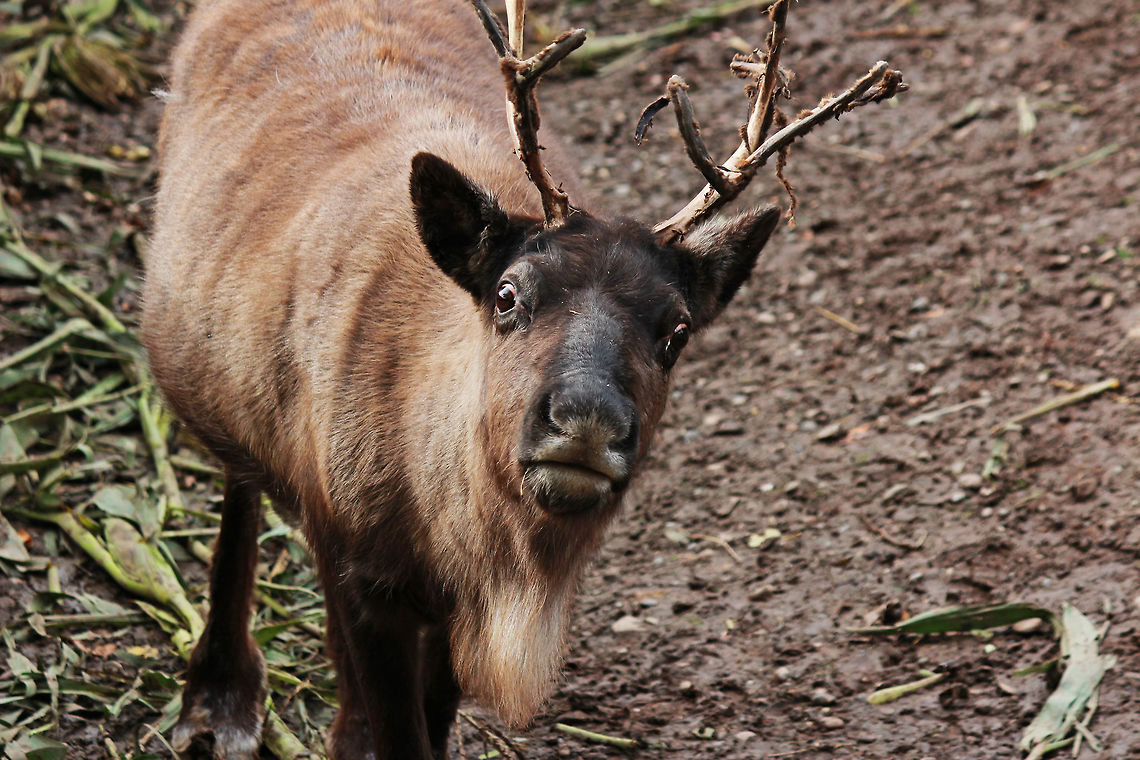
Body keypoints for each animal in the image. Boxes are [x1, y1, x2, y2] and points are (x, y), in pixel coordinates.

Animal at [142, 0, 903, 757]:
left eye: (678, 332)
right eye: (508, 295)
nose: (588, 421)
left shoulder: (450, 610)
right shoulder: (367, 574)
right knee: (239, 488)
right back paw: (219, 698)